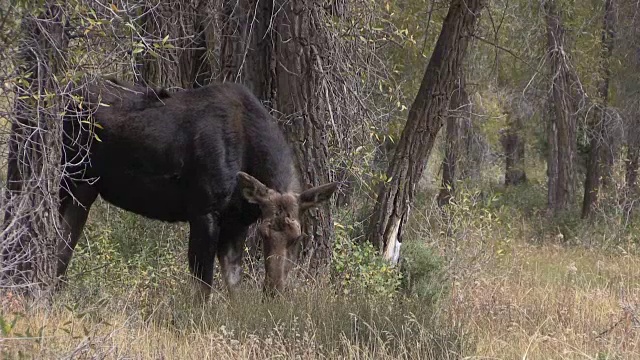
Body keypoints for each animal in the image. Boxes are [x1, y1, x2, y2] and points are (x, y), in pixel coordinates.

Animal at [58, 78, 340, 296]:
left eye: (298, 237)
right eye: (263, 234)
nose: (274, 290)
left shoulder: (236, 222)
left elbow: (233, 285)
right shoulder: (204, 210)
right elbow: (203, 285)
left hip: (82, 188)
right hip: (73, 180)